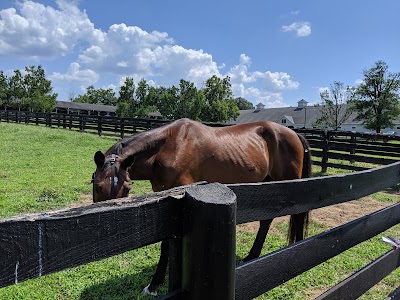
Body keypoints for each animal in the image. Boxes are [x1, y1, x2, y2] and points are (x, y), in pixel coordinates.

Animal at [91, 118, 312, 296]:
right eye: (98, 185)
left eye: (127, 187)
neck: (169, 148)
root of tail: (294, 133)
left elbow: (166, 243)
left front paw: (154, 284)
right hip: (268, 183)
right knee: (266, 220)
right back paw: (252, 256)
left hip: (291, 182)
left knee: (298, 214)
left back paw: (299, 246)